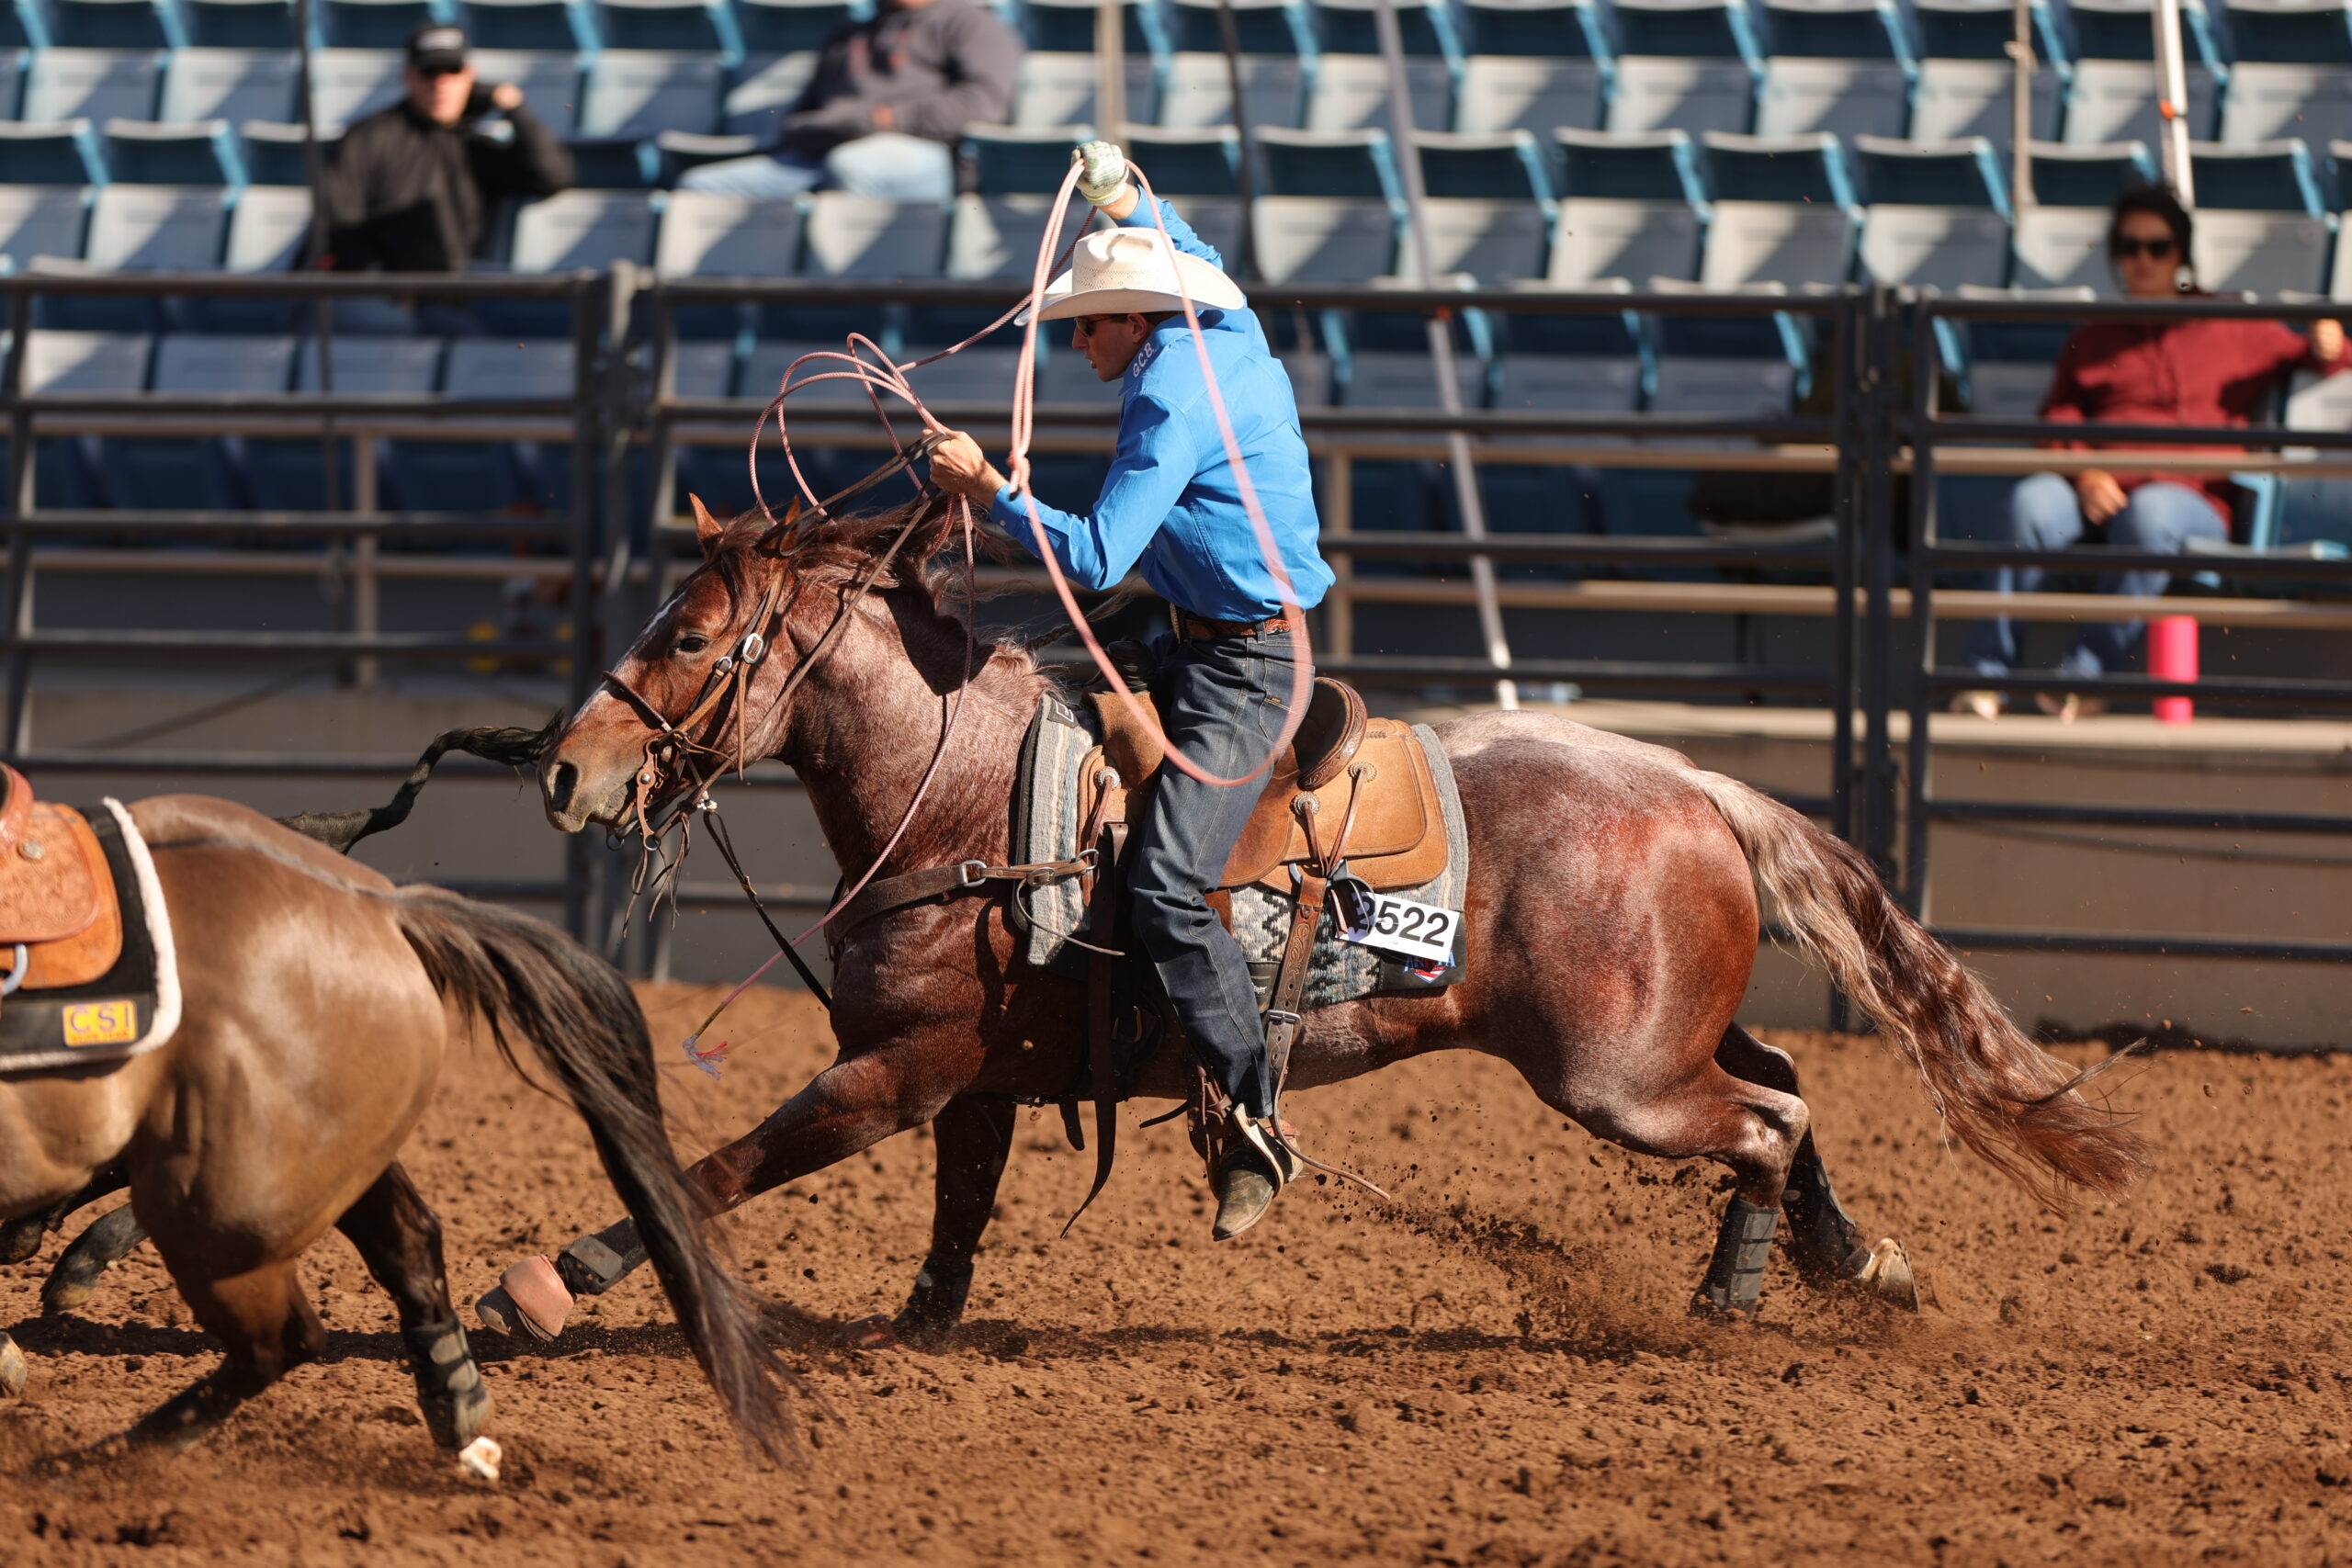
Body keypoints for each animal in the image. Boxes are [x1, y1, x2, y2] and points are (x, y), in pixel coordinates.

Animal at [483, 490, 2152, 1349]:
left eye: (689, 634)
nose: (566, 766)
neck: (966, 797)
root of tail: (1694, 780)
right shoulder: (970, 1078)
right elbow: (954, 1216)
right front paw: (918, 1330)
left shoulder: (890, 1071)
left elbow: (712, 1166)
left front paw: (540, 1288)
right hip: (1666, 1035)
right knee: (1788, 1087)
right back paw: (1853, 1263)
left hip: (1617, 1076)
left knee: (1763, 1119)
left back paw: (1725, 1297)